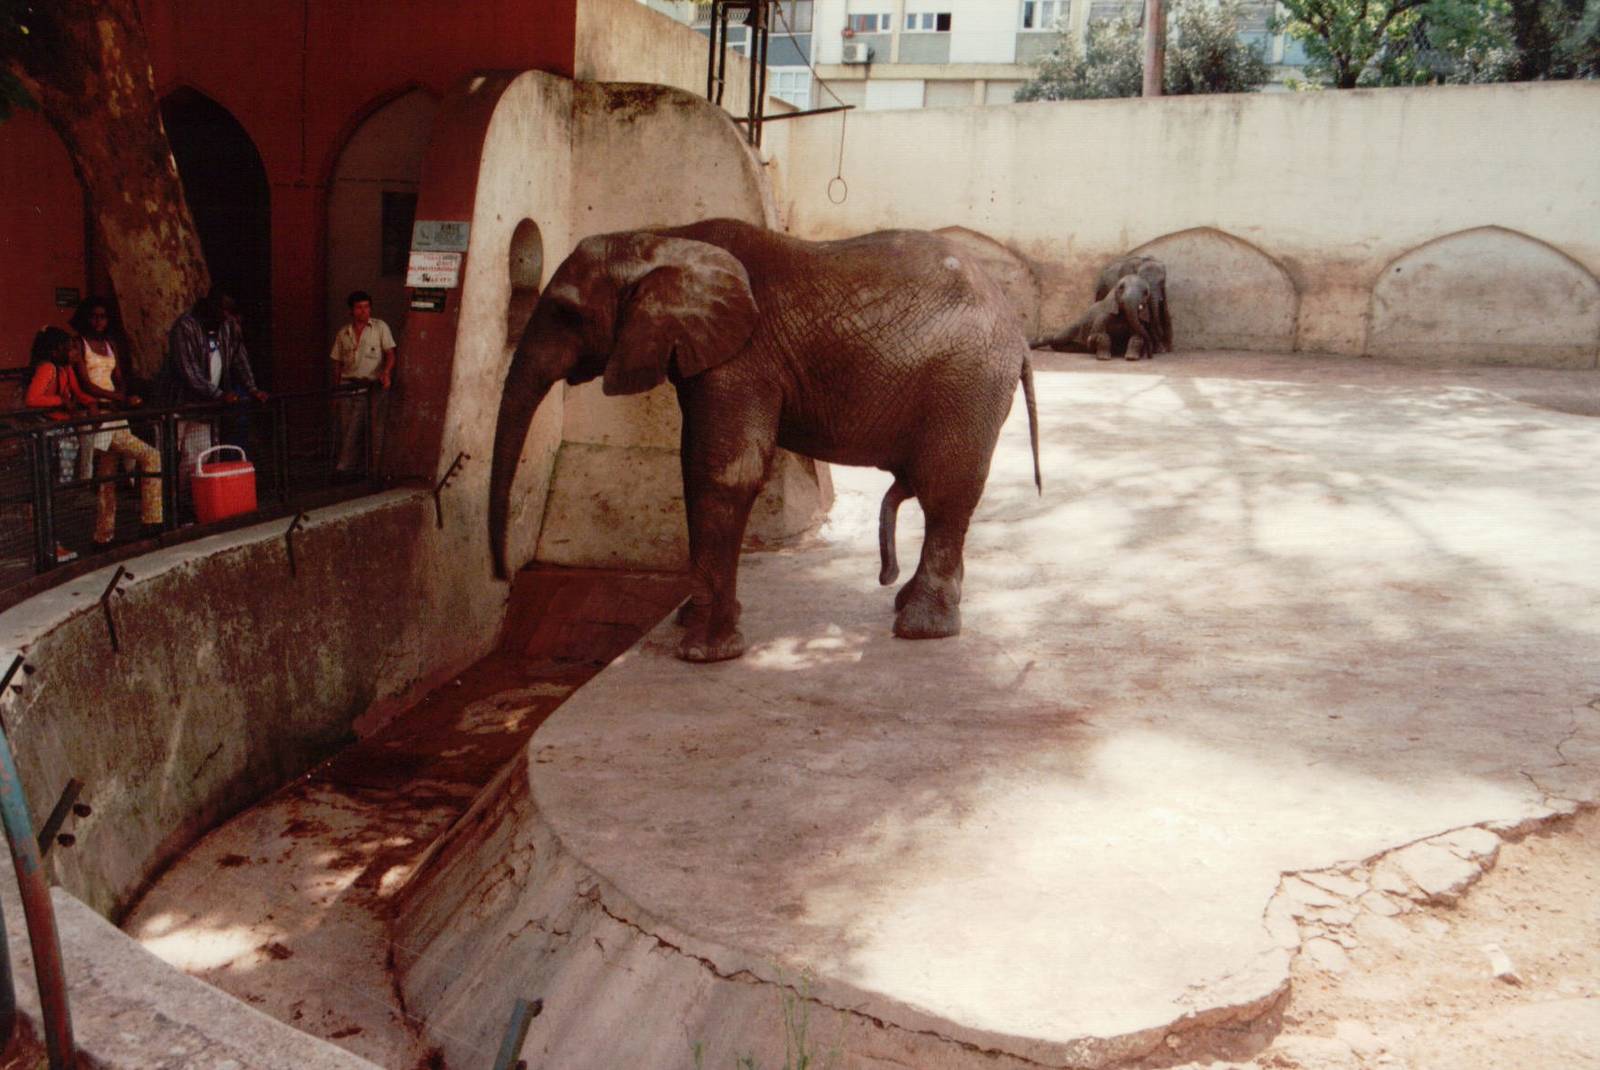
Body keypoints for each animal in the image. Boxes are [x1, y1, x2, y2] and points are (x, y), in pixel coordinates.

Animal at [490, 218, 1041, 664]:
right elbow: (693, 465)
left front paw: (703, 653)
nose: (502, 576)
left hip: (968, 383)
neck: (664, 237)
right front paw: (695, 619)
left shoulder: (743, 357)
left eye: (566, 313)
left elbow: (726, 472)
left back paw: (920, 628)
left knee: (946, 491)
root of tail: (1016, 325)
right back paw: (909, 605)